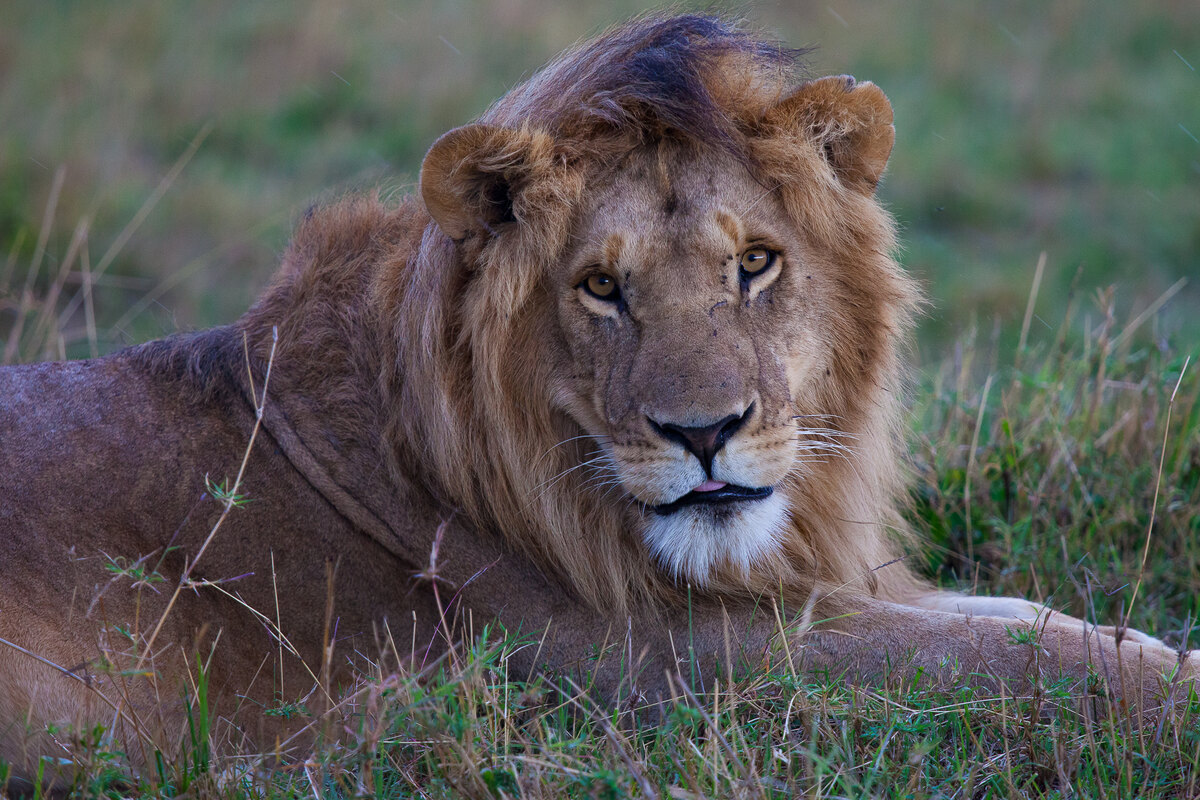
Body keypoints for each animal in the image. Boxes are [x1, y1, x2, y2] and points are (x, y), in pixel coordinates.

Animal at [0, 13, 1192, 791]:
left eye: (755, 264)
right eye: (601, 287)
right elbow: (998, 660)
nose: (705, 434)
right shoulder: (651, 667)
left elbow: (1020, 618)